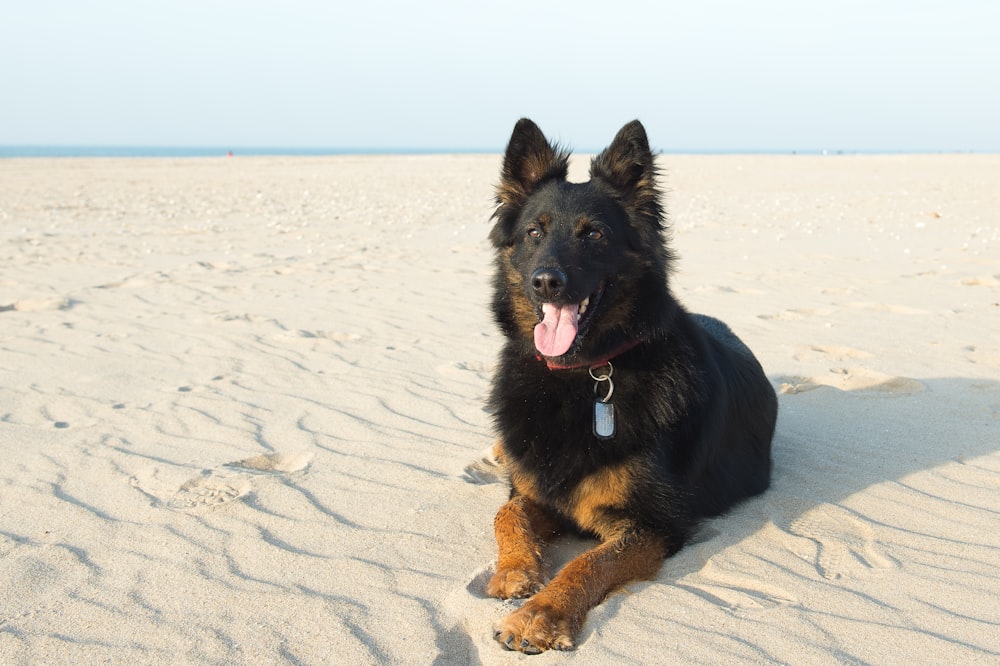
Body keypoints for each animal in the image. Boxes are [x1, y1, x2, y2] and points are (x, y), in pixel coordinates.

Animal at [482, 116, 772, 652]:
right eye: (534, 232)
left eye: (594, 234)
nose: (545, 281)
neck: (583, 376)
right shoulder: (535, 490)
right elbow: (507, 514)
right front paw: (515, 571)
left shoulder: (652, 525)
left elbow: (588, 562)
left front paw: (540, 615)